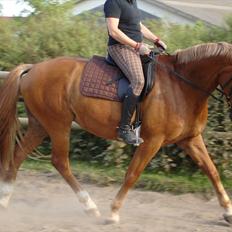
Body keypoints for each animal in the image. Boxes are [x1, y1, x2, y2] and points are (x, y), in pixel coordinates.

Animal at [0, 41, 232, 223]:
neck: (181, 86)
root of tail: (33, 68)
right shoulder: (152, 141)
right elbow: (132, 174)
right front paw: (113, 213)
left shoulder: (190, 139)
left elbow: (212, 171)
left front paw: (228, 212)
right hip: (58, 125)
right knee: (60, 162)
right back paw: (90, 206)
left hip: (40, 125)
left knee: (18, 156)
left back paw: (5, 200)